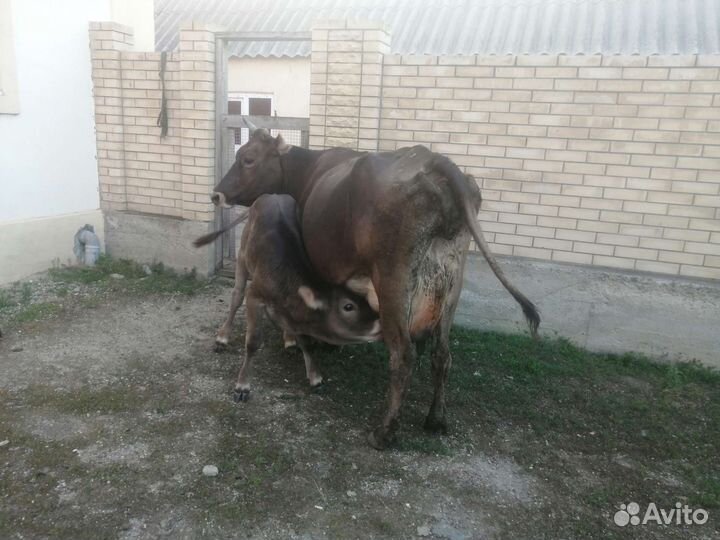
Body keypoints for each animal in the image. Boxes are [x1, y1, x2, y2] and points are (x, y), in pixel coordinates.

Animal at [200, 194, 382, 402]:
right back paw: (222, 338)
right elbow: (253, 341)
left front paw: (315, 376)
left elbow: (306, 341)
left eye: (364, 300)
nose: (380, 324)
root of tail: (272, 194)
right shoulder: (254, 295)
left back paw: (288, 339)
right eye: (348, 306)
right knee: (236, 296)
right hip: (243, 256)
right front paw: (242, 386)